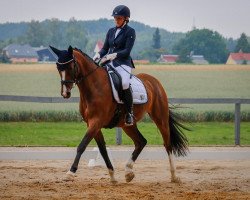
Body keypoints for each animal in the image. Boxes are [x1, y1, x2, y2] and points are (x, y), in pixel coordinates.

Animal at [49, 45, 188, 183]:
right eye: (58, 68)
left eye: (71, 67)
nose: (65, 93)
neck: (94, 87)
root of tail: (154, 81)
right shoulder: (92, 124)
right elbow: (103, 150)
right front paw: (112, 176)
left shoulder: (96, 122)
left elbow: (82, 146)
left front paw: (70, 173)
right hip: (127, 125)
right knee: (141, 142)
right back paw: (128, 172)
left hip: (160, 118)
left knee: (167, 144)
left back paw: (174, 176)